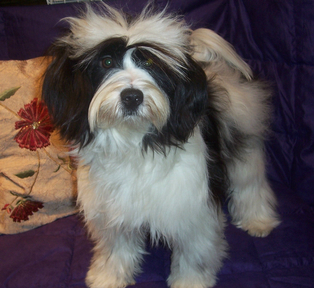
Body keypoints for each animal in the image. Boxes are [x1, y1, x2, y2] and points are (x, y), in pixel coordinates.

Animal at [41, 2, 280, 288]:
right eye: (106, 62)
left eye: (150, 63)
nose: (132, 96)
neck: (133, 140)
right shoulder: (112, 210)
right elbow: (116, 249)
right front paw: (109, 277)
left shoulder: (191, 210)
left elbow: (193, 252)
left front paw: (190, 282)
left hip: (242, 139)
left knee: (250, 184)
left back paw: (258, 220)